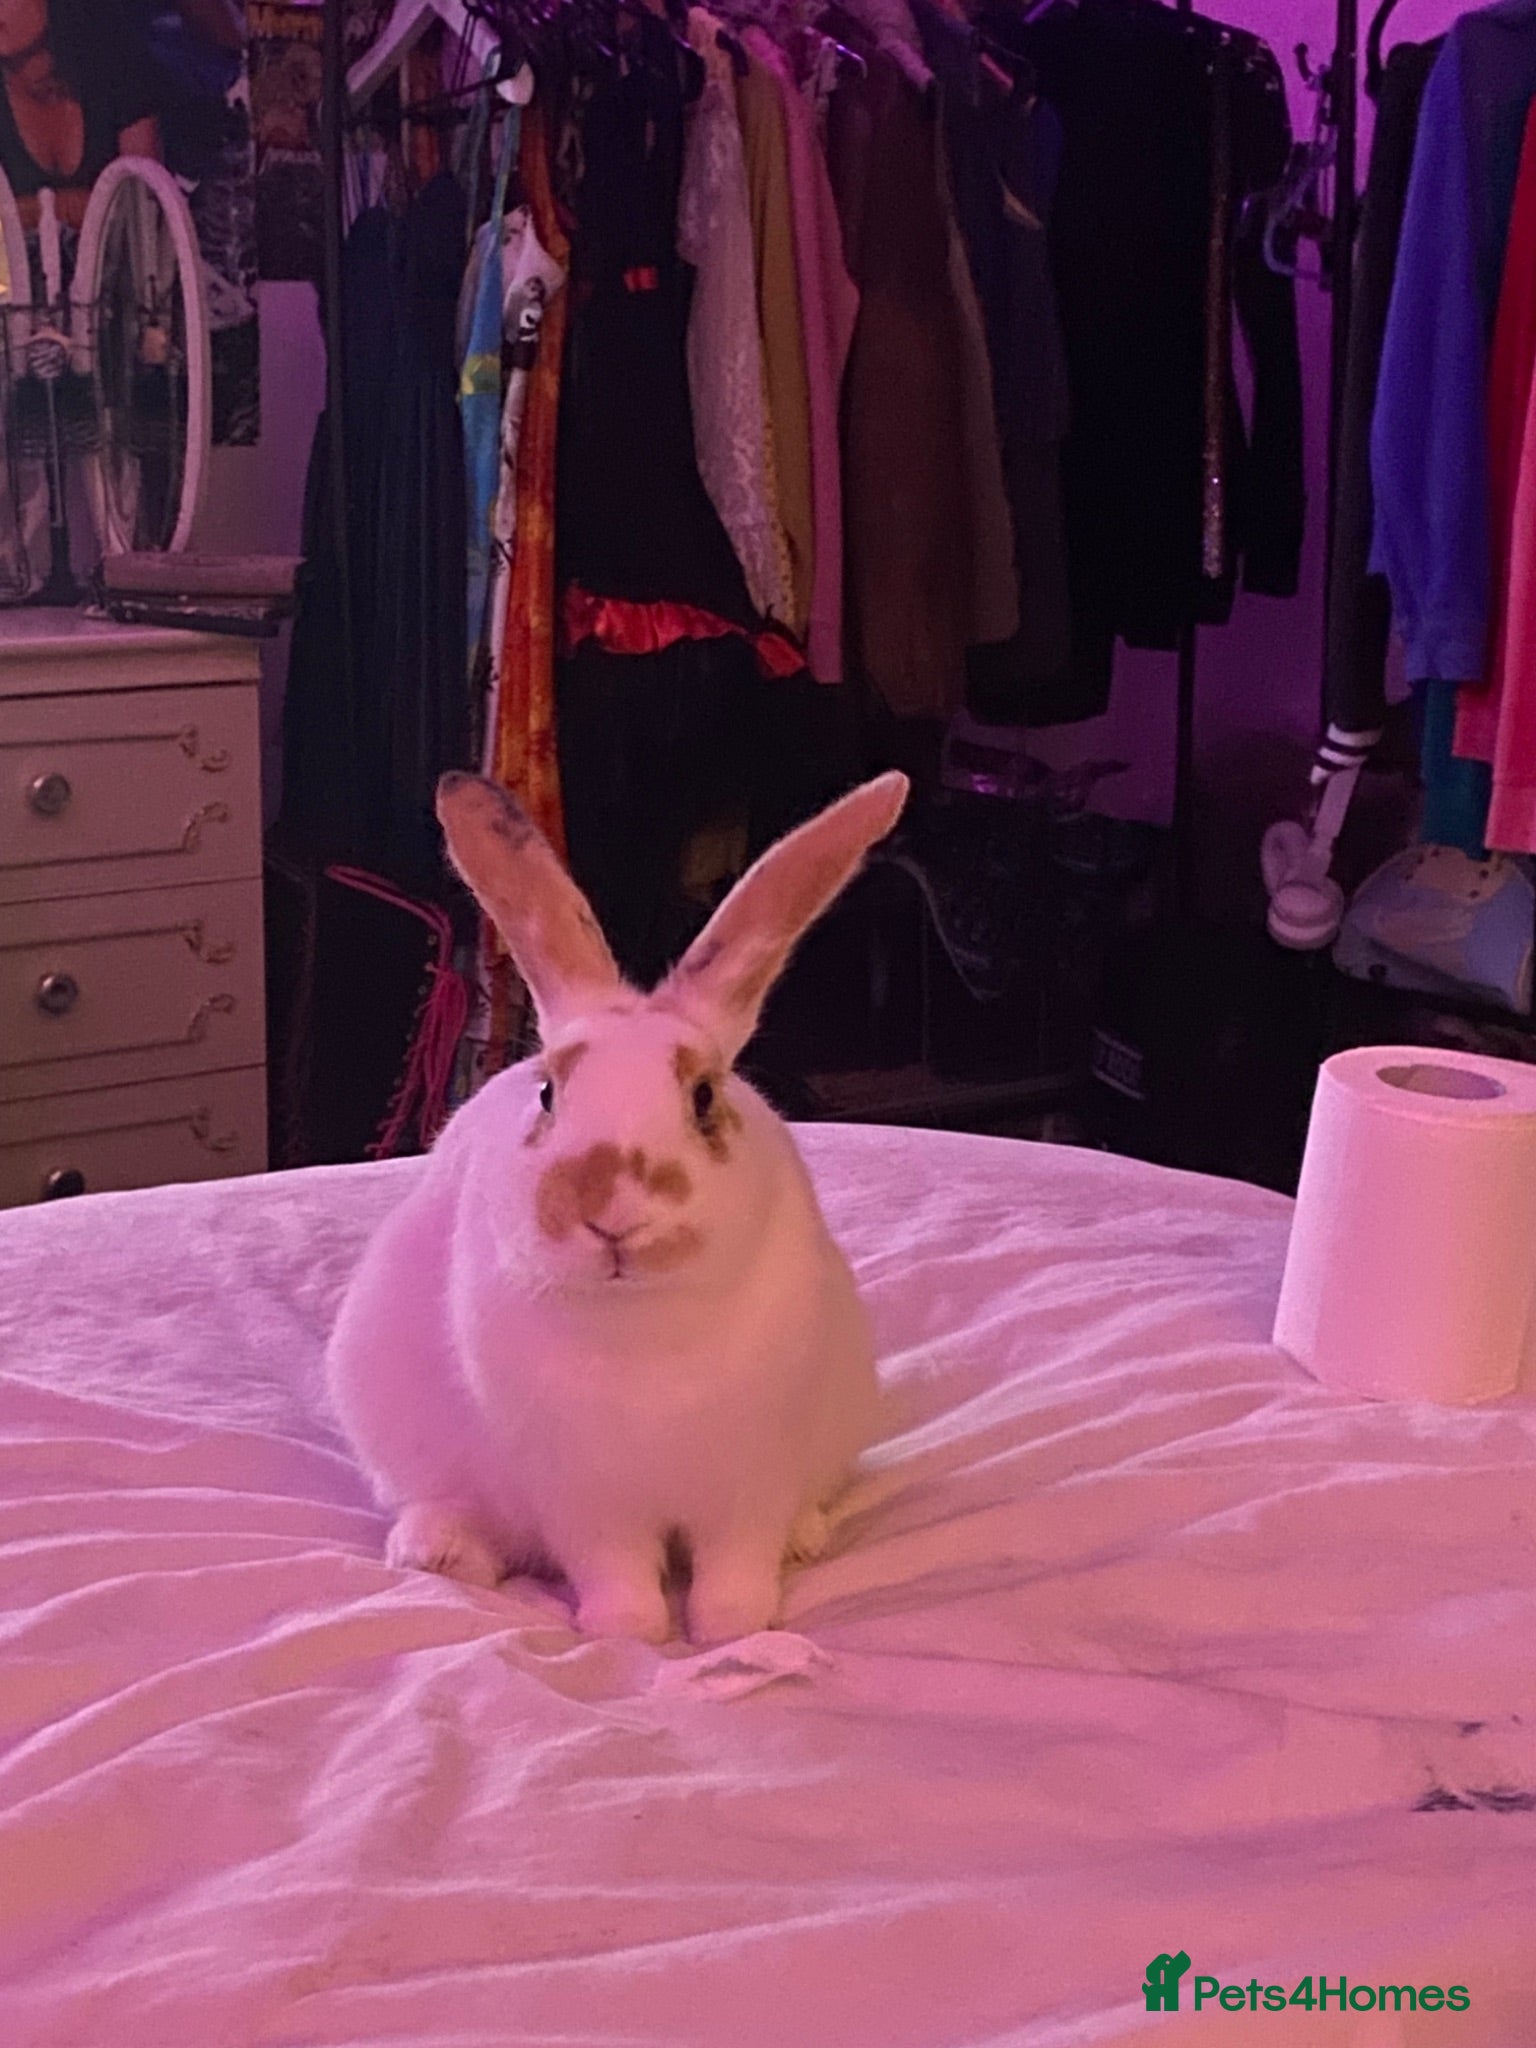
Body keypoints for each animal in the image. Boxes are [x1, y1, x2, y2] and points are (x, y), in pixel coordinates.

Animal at [325, 765, 909, 1646]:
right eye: (547, 1094)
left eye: (703, 1098)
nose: (609, 1209)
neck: (643, 1330)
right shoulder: (584, 1499)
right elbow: (614, 1567)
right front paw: (629, 1629)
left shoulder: (752, 1481)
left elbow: (737, 1563)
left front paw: (732, 1628)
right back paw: (437, 1549)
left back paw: (805, 1539)